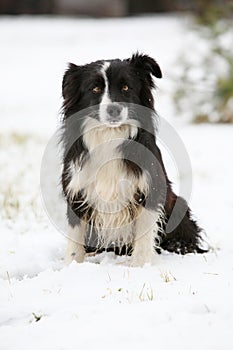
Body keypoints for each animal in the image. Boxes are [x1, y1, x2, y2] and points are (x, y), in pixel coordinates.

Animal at [61, 52, 207, 266]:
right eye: (95, 88)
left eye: (125, 87)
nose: (114, 110)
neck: (110, 135)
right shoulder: (77, 190)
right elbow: (74, 238)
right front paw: (72, 266)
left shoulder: (149, 187)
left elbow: (144, 233)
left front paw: (140, 265)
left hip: (177, 204)